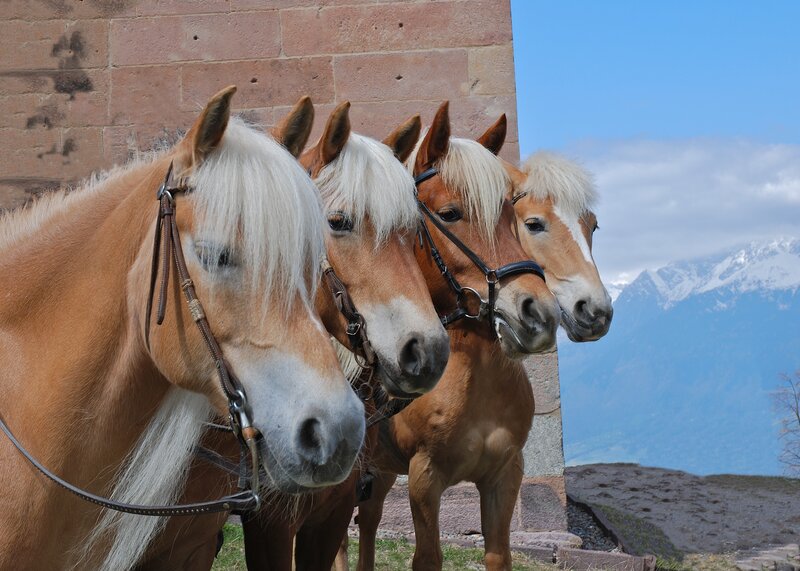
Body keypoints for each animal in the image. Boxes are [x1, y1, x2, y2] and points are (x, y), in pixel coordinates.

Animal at [349, 103, 568, 571]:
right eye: (450, 214)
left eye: (512, 216)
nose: (538, 312)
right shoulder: (424, 477)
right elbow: (427, 558)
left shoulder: (504, 476)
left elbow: (499, 555)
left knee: (369, 521)